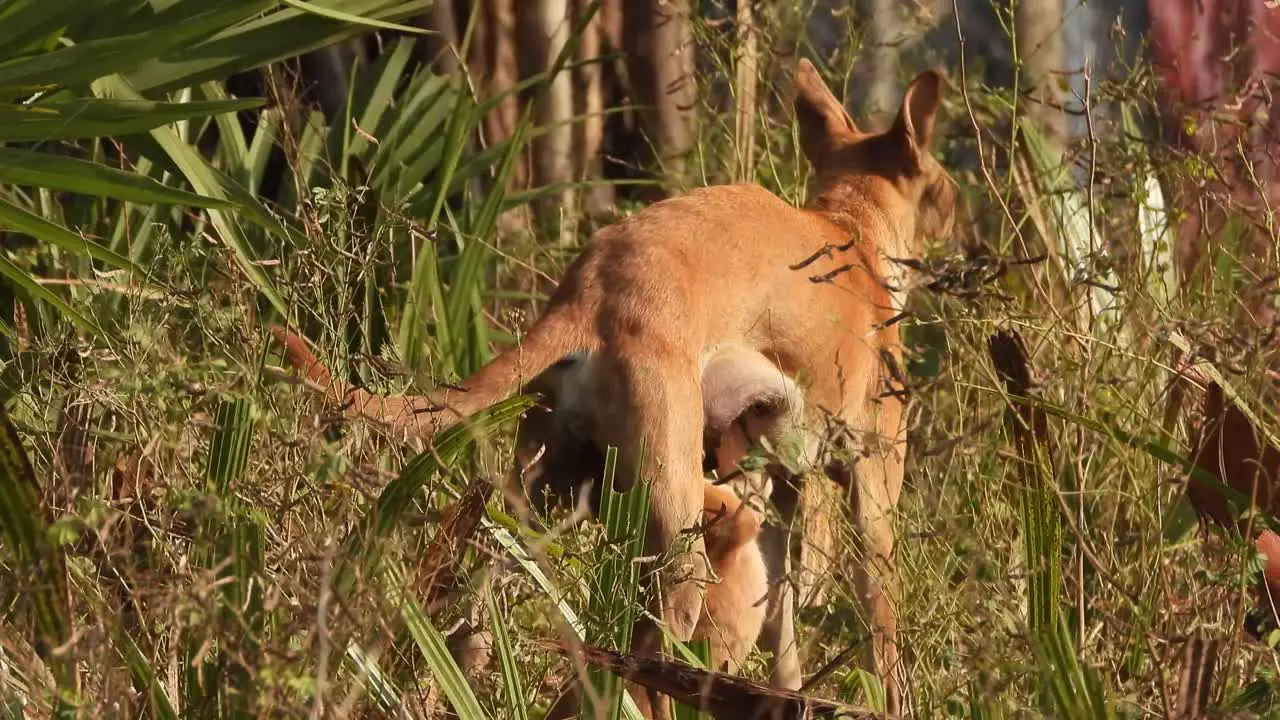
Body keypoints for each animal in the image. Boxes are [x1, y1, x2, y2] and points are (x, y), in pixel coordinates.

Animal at [270, 60, 957, 712]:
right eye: (945, 185)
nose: (964, 218)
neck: (850, 233)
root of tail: (588, 291)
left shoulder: (783, 496)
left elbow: (786, 642)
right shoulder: (872, 492)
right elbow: (884, 641)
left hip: (534, 507)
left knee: (474, 630)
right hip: (675, 544)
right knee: (647, 672)